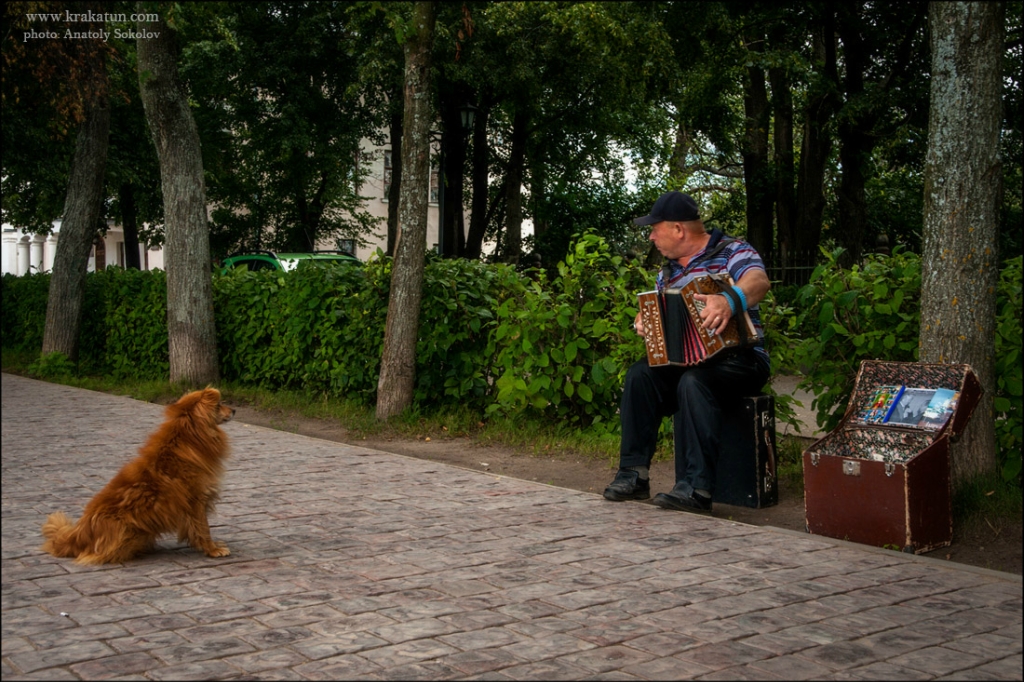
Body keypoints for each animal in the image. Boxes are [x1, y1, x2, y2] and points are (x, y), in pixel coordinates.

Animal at [41, 387, 235, 561]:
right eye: (219, 404)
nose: (234, 410)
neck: (190, 437)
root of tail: (79, 533)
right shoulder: (196, 500)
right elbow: (203, 528)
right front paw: (213, 550)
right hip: (128, 531)